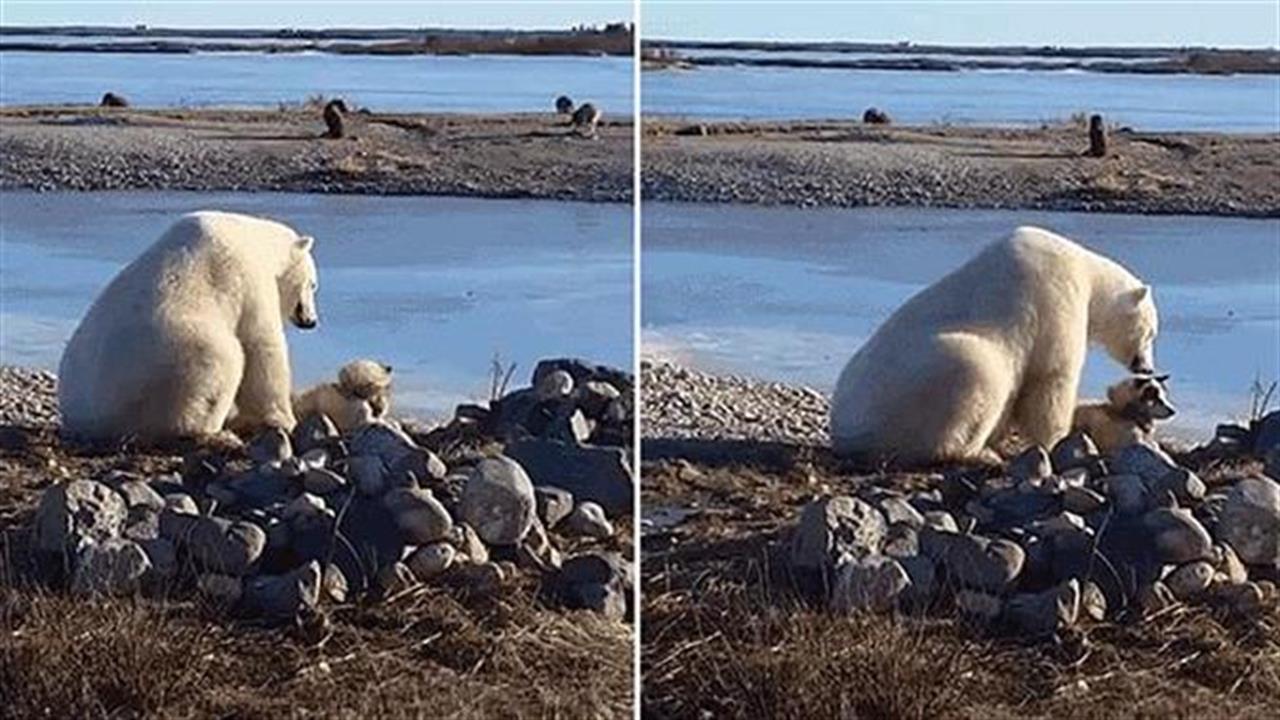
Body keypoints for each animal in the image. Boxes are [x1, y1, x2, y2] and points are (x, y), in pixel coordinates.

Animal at [58, 210, 320, 440]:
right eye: (313, 284)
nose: (311, 321)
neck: (257, 240)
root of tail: (91, 421)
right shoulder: (247, 279)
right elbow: (261, 345)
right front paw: (285, 419)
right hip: (172, 357)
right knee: (223, 360)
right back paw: (214, 428)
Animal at [829, 225, 1162, 466]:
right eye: (1151, 333)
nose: (1146, 367)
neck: (1088, 271)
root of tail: (847, 432)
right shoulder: (1056, 298)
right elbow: (1051, 379)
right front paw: (1057, 439)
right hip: (916, 387)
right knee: (975, 370)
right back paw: (977, 454)